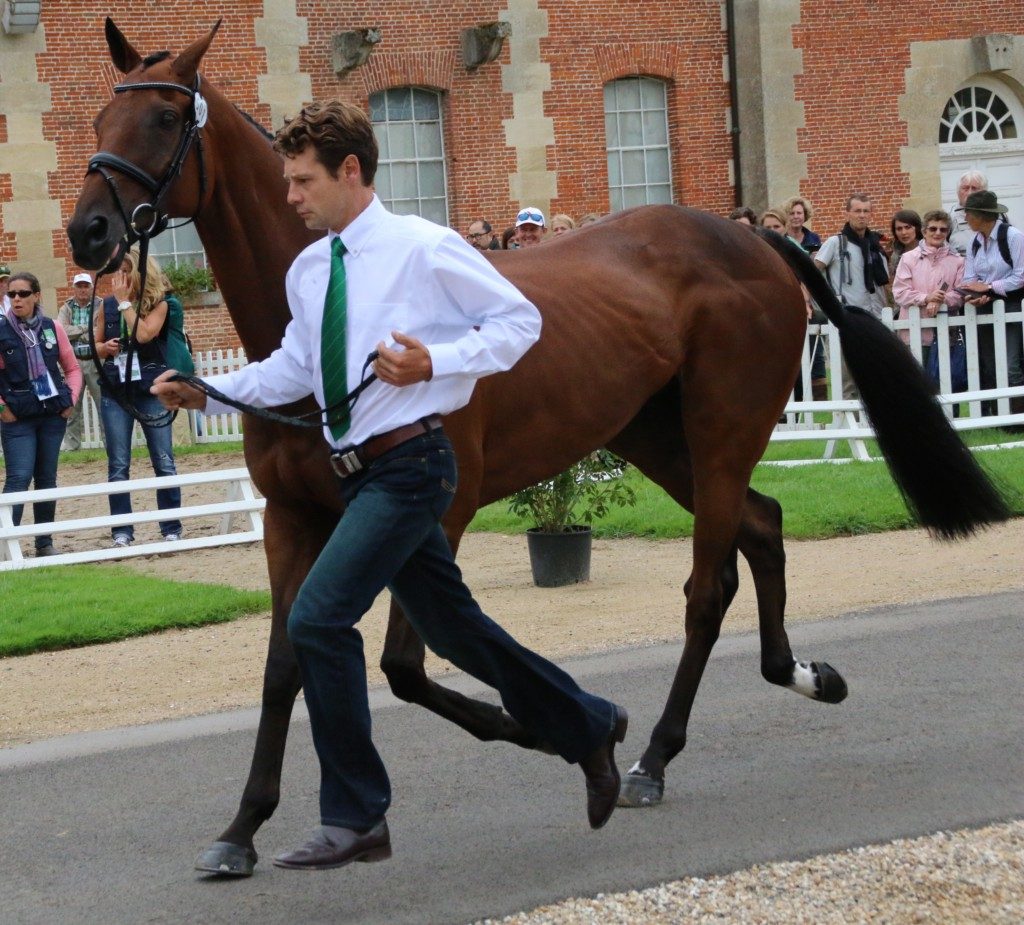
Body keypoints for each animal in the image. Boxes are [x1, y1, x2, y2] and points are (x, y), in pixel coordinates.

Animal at [66, 19, 1007, 876]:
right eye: (99, 119)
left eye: (161, 119)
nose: (87, 234)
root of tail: (757, 239)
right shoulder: (293, 518)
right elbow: (283, 665)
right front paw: (242, 827)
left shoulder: (435, 507)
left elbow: (404, 665)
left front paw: (569, 727)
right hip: (653, 435)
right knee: (765, 524)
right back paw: (799, 674)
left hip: (722, 429)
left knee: (709, 585)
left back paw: (651, 755)